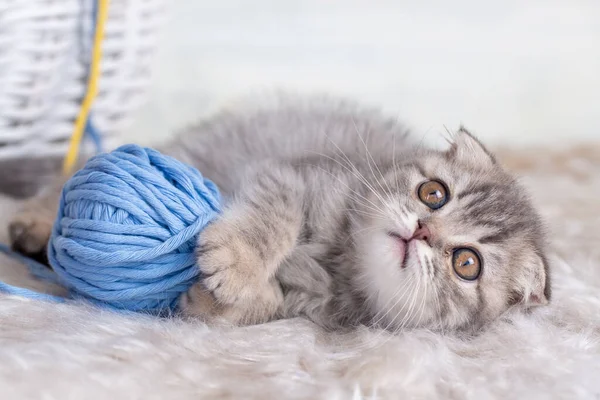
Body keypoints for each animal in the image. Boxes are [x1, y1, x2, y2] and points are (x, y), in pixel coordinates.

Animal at [8, 95, 548, 332]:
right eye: (434, 194)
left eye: (466, 264)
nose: (422, 231)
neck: (343, 261)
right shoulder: (290, 175)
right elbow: (275, 220)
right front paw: (239, 261)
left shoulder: (312, 307)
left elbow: (264, 307)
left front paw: (214, 301)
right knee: (75, 184)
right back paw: (33, 226)